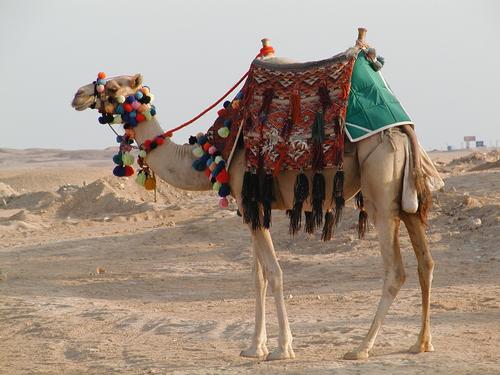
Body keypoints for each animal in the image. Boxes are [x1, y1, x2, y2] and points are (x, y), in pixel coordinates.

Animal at [71, 30, 442, 362]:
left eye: (114, 86)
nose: (77, 94)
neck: (215, 151)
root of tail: (402, 128)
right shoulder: (252, 207)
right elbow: (258, 277)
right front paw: (254, 347)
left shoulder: (248, 197)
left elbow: (275, 274)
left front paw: (282, 349)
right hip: (405, 196)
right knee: (426, 261)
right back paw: (421, 343)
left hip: (381, 188)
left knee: (395, 270)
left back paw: (361, 347)